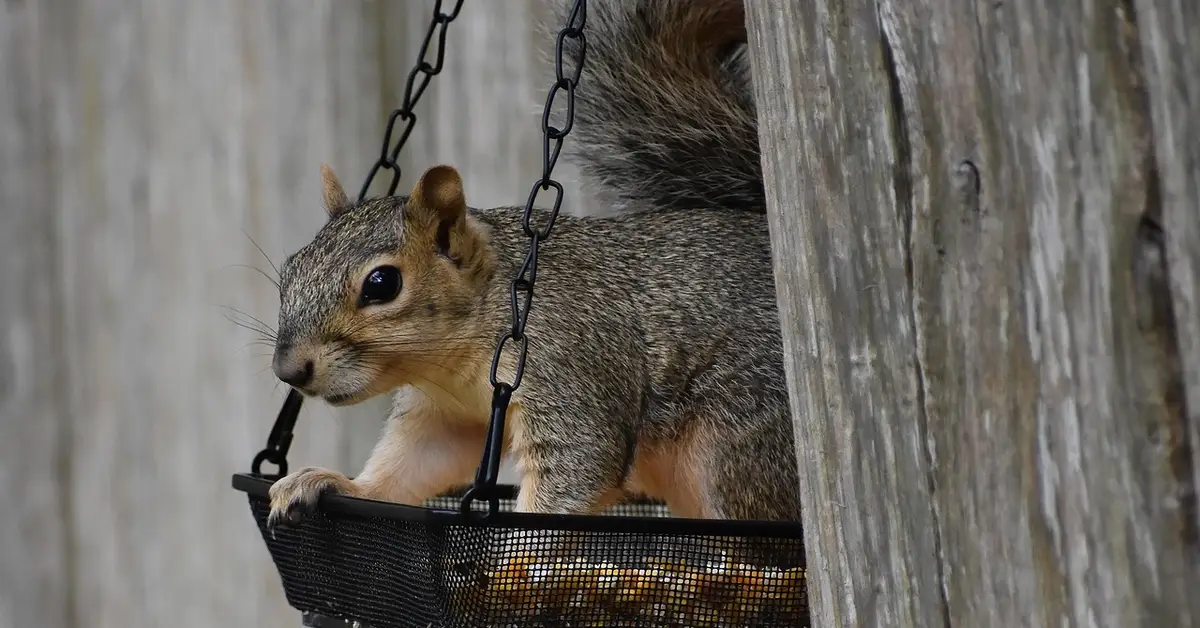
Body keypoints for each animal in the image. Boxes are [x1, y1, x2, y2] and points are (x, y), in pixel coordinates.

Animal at [264, 0, 801, 532]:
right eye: (289, 271)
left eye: (382, 283)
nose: (288, 370)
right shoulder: (444, 416)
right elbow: (412, 465)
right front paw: (335, 482)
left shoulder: (567, 366)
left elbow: (577, 466)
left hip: (740, 444)